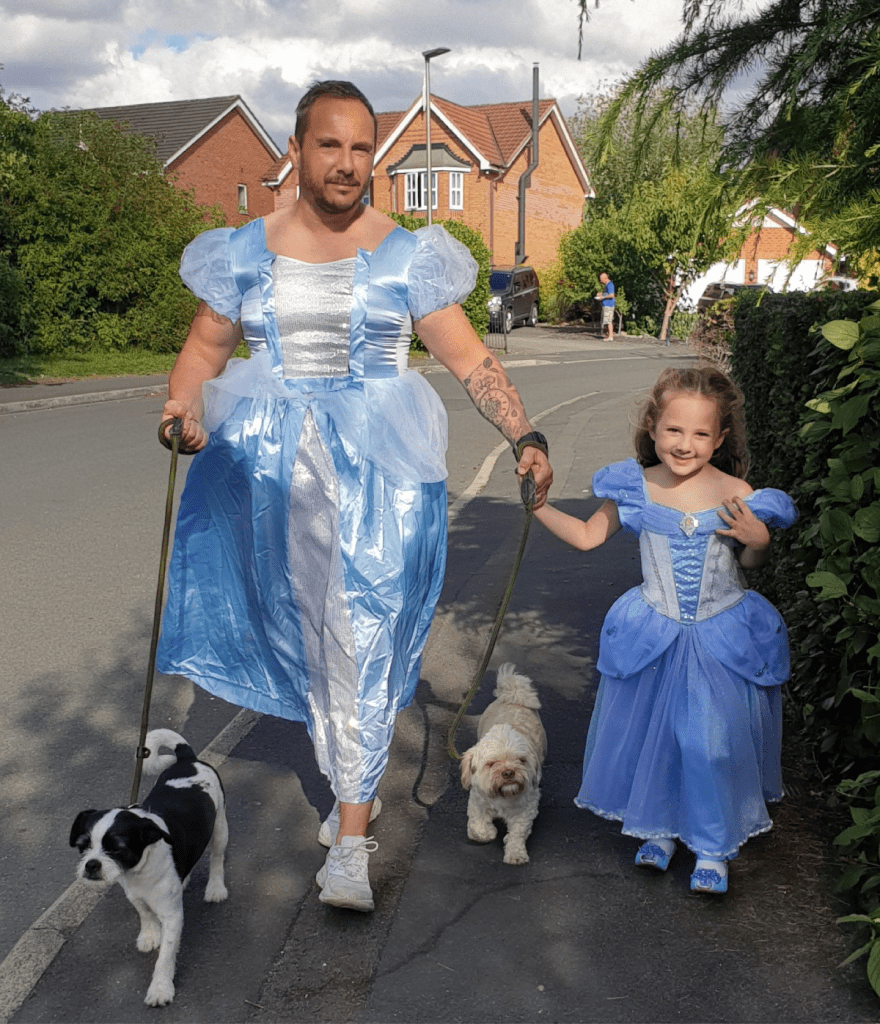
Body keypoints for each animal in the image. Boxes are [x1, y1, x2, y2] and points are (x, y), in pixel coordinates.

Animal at [71, 729, 228, 1007]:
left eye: (117, 847)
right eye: (83, 846)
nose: (91, 865)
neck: (139, 872)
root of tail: (188, 758)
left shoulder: (172, 916)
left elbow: (165, 956)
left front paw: (160, 988)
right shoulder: (135, 895)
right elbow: (144, 913)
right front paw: (149, 935)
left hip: (220, 827)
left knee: (217, 858)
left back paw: (215, 887)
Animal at [461, 663, 545, 864]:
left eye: (521, 760)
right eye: (491, 763)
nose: (508, 772)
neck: (503, 796)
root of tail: (513, 695)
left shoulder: (527, 807)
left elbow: (517, 833)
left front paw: (515, 853)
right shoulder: (477, 799)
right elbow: (478, 827)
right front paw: (488, 833)